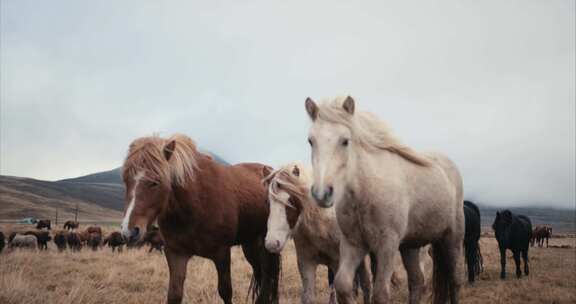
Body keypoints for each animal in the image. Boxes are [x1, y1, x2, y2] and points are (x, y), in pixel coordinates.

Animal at [120, 134, 280, 304]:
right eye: (126, 180)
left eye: (155, 182)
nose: (129, 232)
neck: (193, 205)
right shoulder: (176, 253)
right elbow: (174, 294)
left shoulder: (222, 254)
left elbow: (225, 291)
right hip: (250, 243)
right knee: (260, 272)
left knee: (268, 276)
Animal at [262, 163, 372, 304]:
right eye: (267, 202)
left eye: (290, 202)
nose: (271, 243)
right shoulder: (306, 263)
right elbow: (308, 297)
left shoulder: (338, 262)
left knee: (367, 284)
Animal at [306, 97, 464, 304]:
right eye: (311, 141)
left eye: (345, 141)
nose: (321, 193)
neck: (364, 193)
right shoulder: (353, 244)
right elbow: (343, 286)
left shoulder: (387, 245)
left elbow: (380, 293)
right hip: (410, 247)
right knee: (417, 282)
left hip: (452, 238)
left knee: (455, 281)